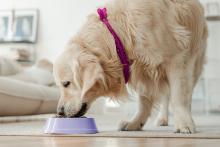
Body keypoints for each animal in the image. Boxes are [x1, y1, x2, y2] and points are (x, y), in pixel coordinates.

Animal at [53, 0, 208, 133]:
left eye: (66, 84)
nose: (59, 111)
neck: (119, 35)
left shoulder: (176, 59)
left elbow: (178, 97)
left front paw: (184, 124)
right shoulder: (143, 70)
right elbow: (144, 102)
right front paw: (135, 123)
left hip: (195, 62)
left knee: (185, 93)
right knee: (165, 96)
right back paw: (162, 119)